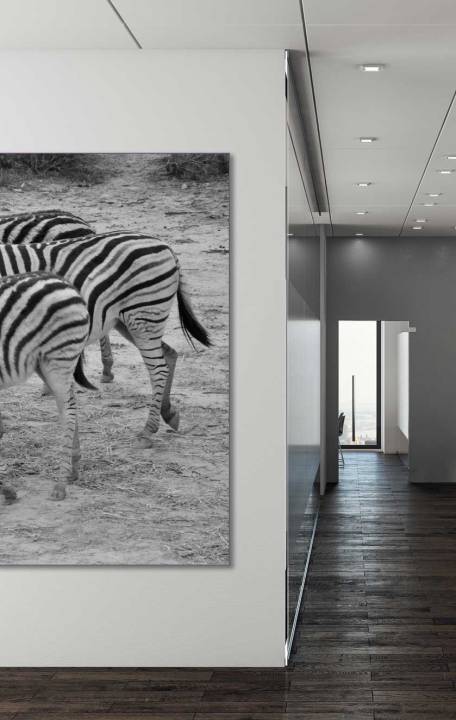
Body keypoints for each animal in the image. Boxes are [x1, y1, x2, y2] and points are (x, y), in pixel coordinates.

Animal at [0, 233, 210, 446]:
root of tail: (165, 246)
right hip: (127, 321)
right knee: (169, 354)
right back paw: (168, 412)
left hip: (143, 315)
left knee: (159, 369)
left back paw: (148, 430)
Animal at [0, 272, 95, 503]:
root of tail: (62, 280)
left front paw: (6, 489)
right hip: (42, 362)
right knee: (70, 403)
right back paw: (73, 468)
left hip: (59, 357)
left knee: (68, 412)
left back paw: (60, 484)